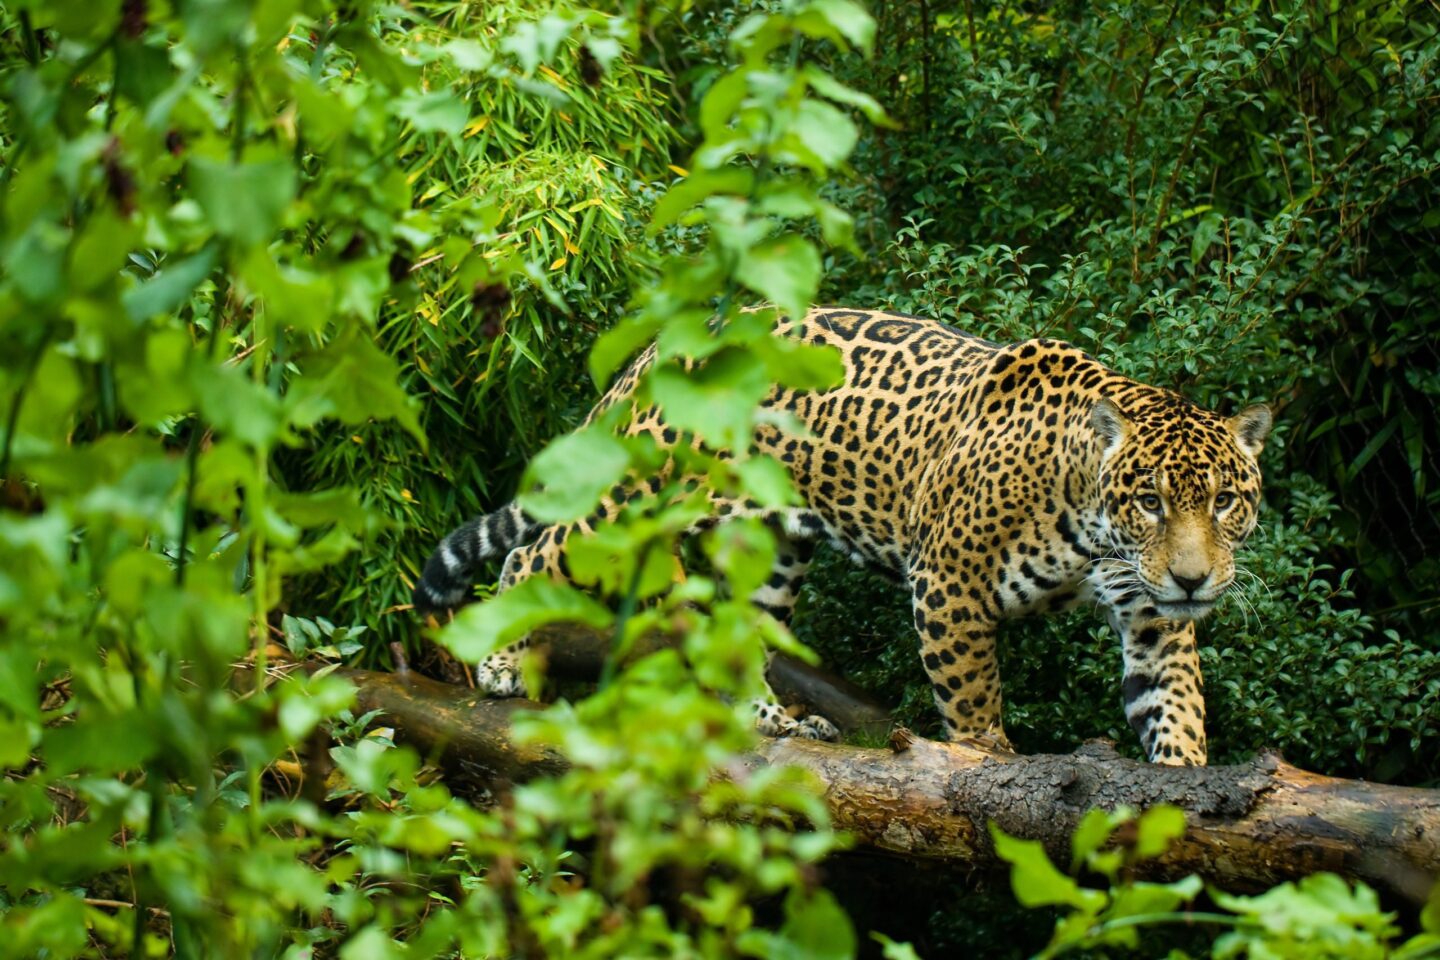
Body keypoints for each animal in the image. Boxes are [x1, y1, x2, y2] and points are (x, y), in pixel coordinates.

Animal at [413, 307, 1271, 765]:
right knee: (534, 550)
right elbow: (974, 699)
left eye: (1224, 500)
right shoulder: (949, 585)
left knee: (741, 633)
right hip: (630, 498)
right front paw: (986, 766)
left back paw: (775, 720)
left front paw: (1187, 789)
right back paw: (499, 660)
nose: (1194, 579)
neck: (1091, 520)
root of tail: (661, 348)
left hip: (771, 547)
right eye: (1150, 501)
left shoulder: (1152, 617)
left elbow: (1175, 705)